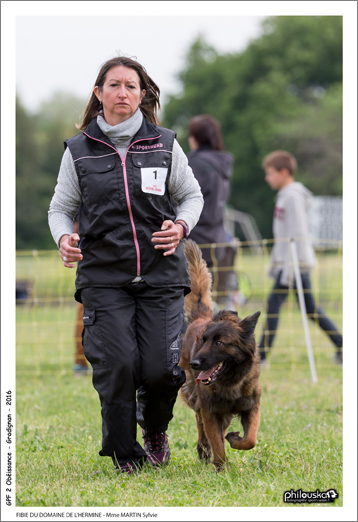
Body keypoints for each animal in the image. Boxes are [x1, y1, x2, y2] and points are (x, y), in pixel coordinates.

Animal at [180, 240, 262, 472]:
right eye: (203, 340)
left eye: (219, 343)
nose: (195, 363)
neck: (230, 382)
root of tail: (203, 317)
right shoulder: (210, 410)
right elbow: (216, 442)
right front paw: (221, 468)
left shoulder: (252, 406)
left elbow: (250, 439)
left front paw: (235, 439)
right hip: (194, 396)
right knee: (200, 424)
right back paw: (203, 449)